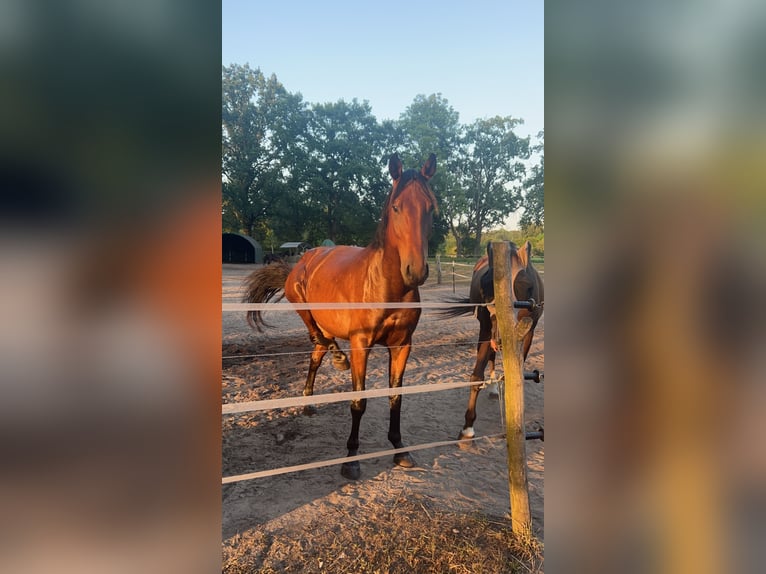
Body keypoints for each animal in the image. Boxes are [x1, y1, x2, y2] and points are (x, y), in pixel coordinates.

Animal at [244, 153, 438, 482]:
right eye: (396, 207)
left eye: (430, 207)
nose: (415, 271)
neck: (386, 286)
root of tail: (306, 258)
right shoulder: (361, 345)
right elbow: (359, 401)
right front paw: (351, 460)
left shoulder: (402, 345)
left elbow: (396, 397)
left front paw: (400, 450)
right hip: (303, 305)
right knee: (317, 336)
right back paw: (336, 359)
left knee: (315, 354)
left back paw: (309, 400)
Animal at [440, 242, 544, 440]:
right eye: (486, 287)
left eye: (527, 286)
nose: (502, 338)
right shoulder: (486, 330)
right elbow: (476, 375)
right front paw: (468, 427)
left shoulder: (528, 334)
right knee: (491, 358)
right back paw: (494, 387)